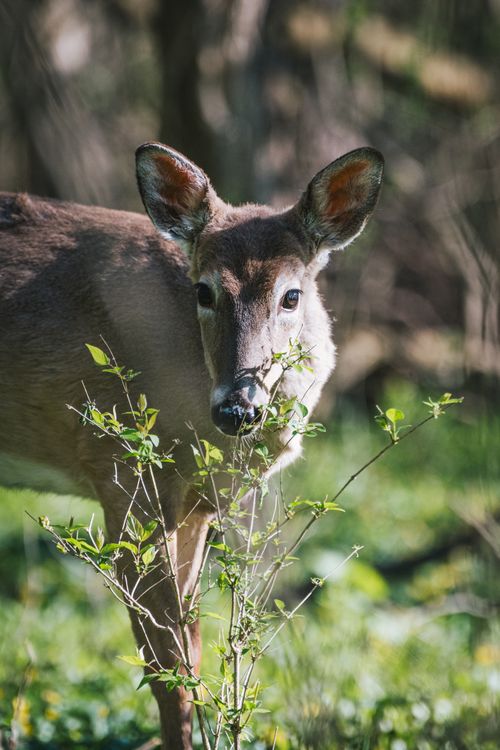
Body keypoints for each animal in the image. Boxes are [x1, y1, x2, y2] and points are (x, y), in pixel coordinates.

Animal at [0, 142, 383, 749]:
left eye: (291, 295)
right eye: (203, 289)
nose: (237, 408)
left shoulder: (200, 501)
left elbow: (193, 650)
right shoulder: (119, 468)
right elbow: (166, 667)